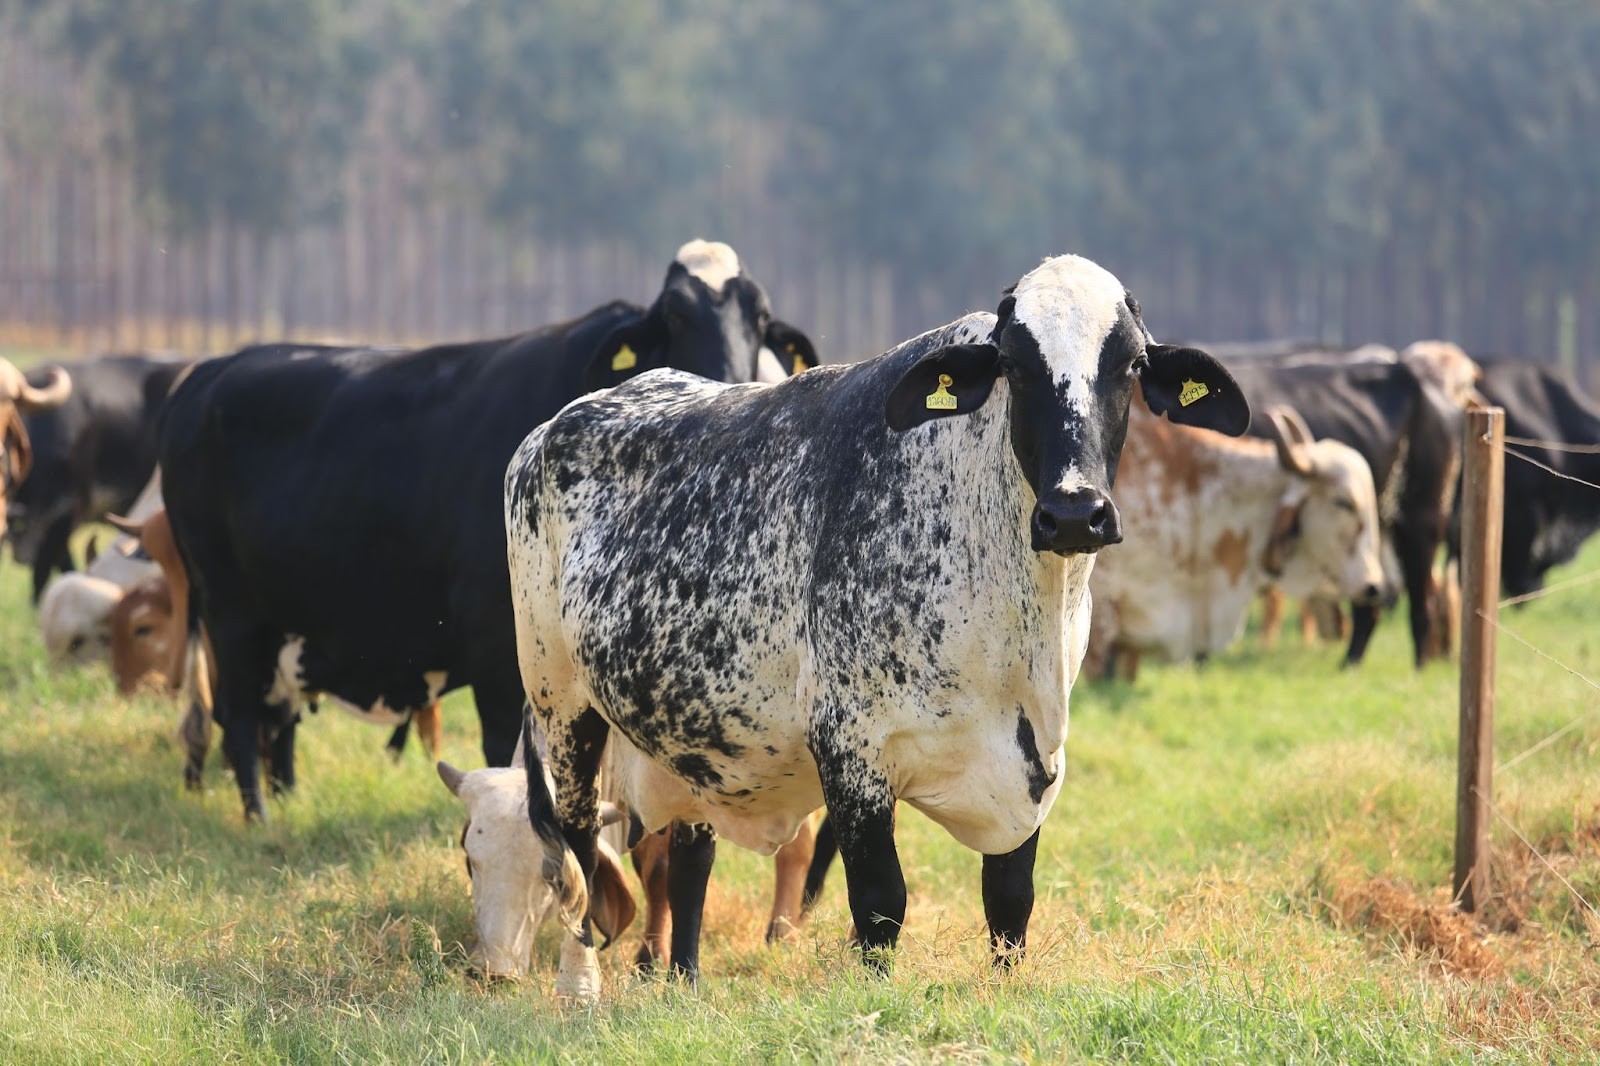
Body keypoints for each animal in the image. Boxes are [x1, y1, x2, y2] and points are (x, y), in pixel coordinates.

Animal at [158, 240, 816, 820]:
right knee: (240, 718)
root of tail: (209, 371)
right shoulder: (497, 643)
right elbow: (507, 754)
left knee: (273, 718)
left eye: (760, 317)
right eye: (677, 314)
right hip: (228, 611)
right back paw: (260, 816)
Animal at [503, 254, 1251, 998]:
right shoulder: (852, 755)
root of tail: (549, 431)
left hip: (691, 736)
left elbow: (1011, 902)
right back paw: (581, 987)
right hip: (561, 708)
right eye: (1014, 364)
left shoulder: (1034, 763)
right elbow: (880, 905)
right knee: (578, 857)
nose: (1074, 512)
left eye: (1130, 364)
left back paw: (684, 981)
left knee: (688, 861)